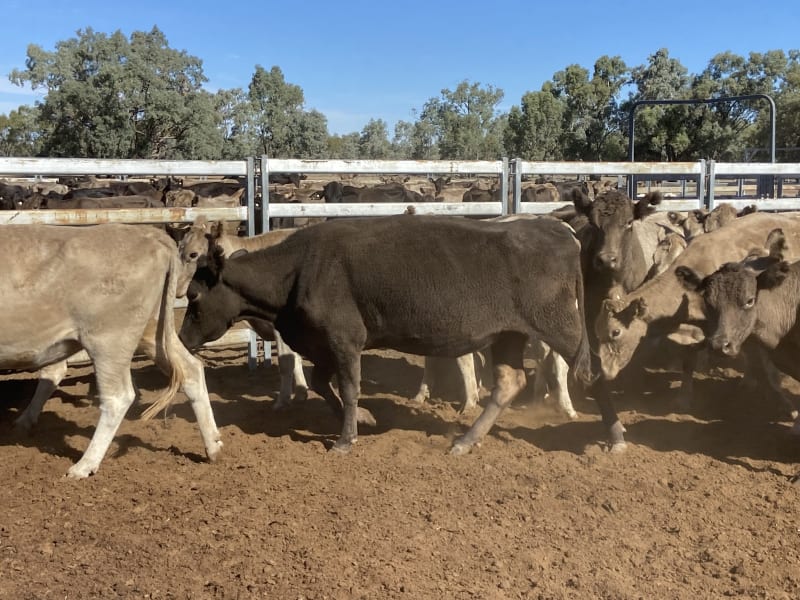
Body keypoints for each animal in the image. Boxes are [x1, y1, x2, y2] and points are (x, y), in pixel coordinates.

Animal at [0, 224, 222, 478]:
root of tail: (150, 235)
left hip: (109, 340)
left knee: (118, 397)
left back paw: (84, 465)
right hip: (153, 332)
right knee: (191, 370)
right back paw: (213, 446)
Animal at [178, 214, 593, 455]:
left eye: (195, 295)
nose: (181, 339)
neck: (298, 270)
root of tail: (562, 231)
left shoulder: (345, 340)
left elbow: (348, 387)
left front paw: (345, 439)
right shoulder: (324, 344)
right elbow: (323, 383)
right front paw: (363, 418)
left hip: (560, 327)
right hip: (509, 335)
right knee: (509, 383)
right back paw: (465, 441)